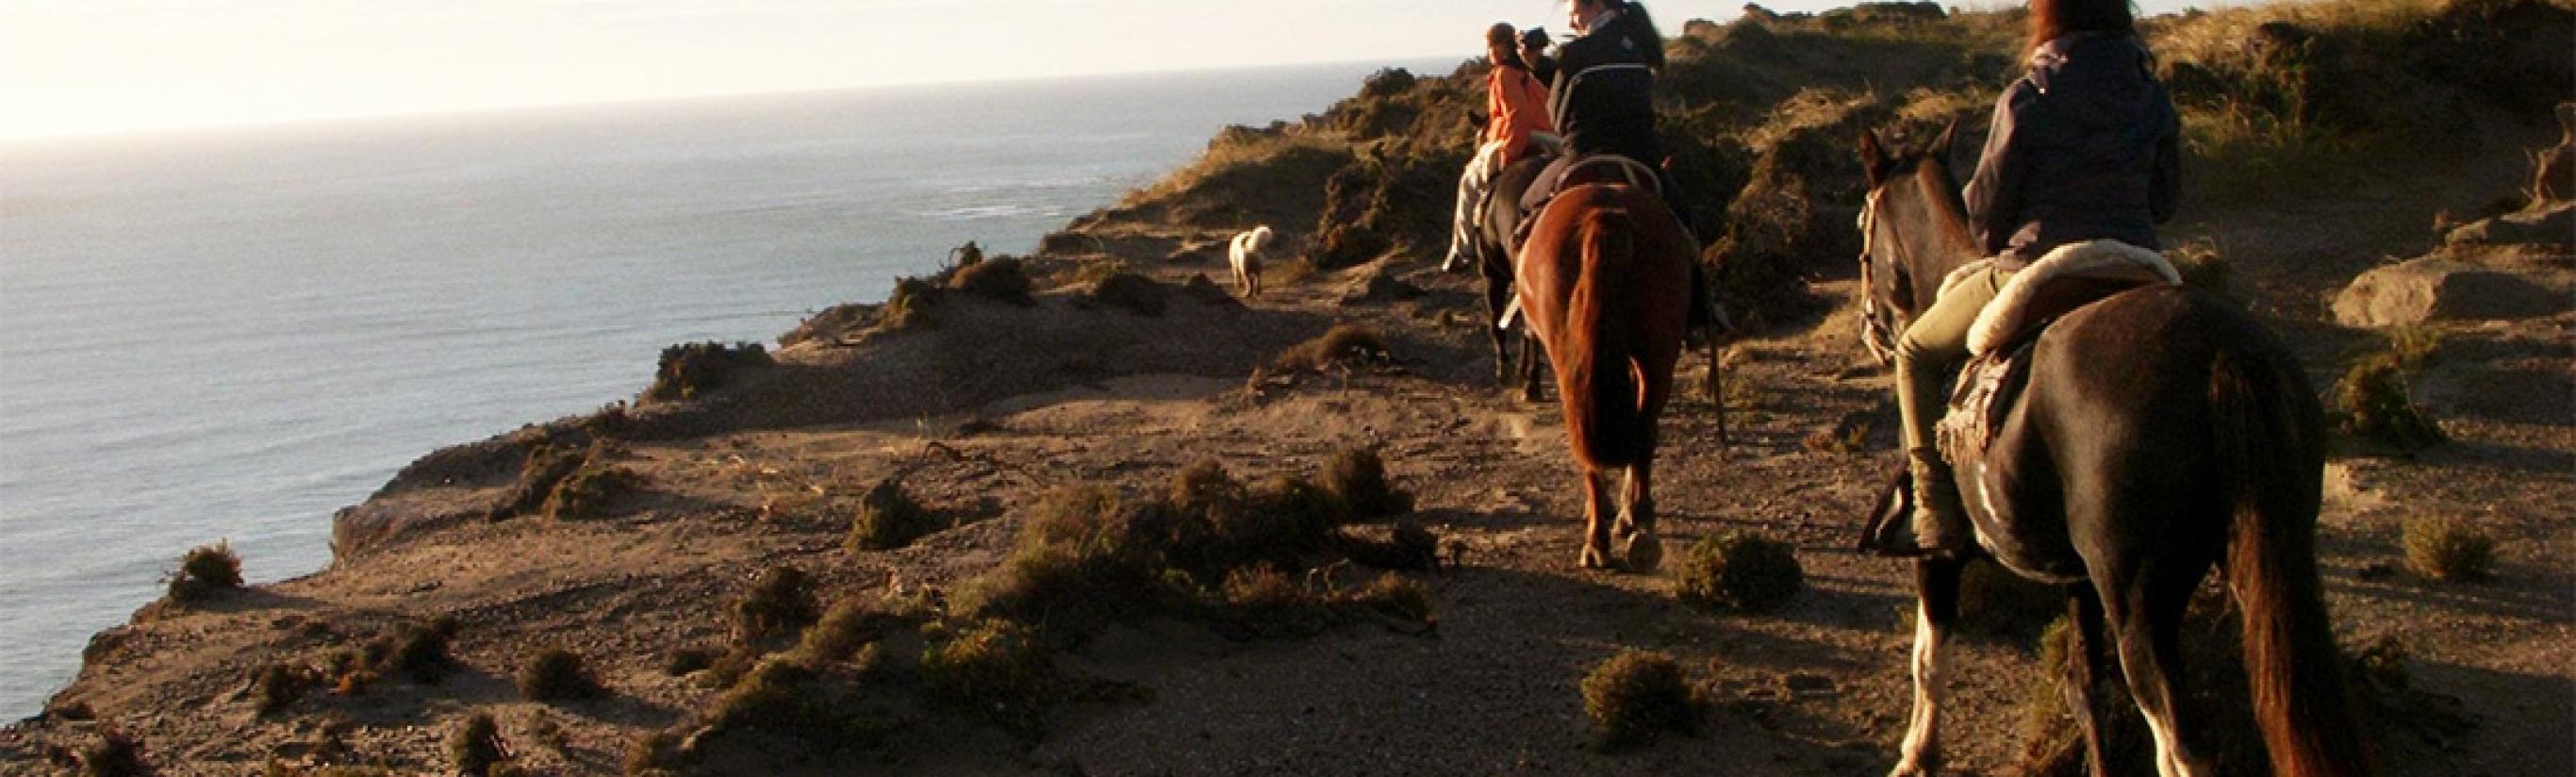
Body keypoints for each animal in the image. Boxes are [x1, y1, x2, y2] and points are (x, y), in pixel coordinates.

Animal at [1514, 182, 1700, 570]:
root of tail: (1604, 214)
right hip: (1656, 355)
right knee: (1642, 433)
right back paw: (1638, 527)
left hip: (1573, 358)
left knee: (1594, 446)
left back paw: (1605, 537)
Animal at [1855, 127, 2370, 777]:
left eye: (1863, 228)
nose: (1871, 329)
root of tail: (2222, 351)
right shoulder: (2080, 578)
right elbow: (2086, 688)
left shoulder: (1941, 556)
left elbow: (1929, 658)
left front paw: (1916, 755)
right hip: (2261, 558)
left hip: (2139, 600)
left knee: (2178, 745)